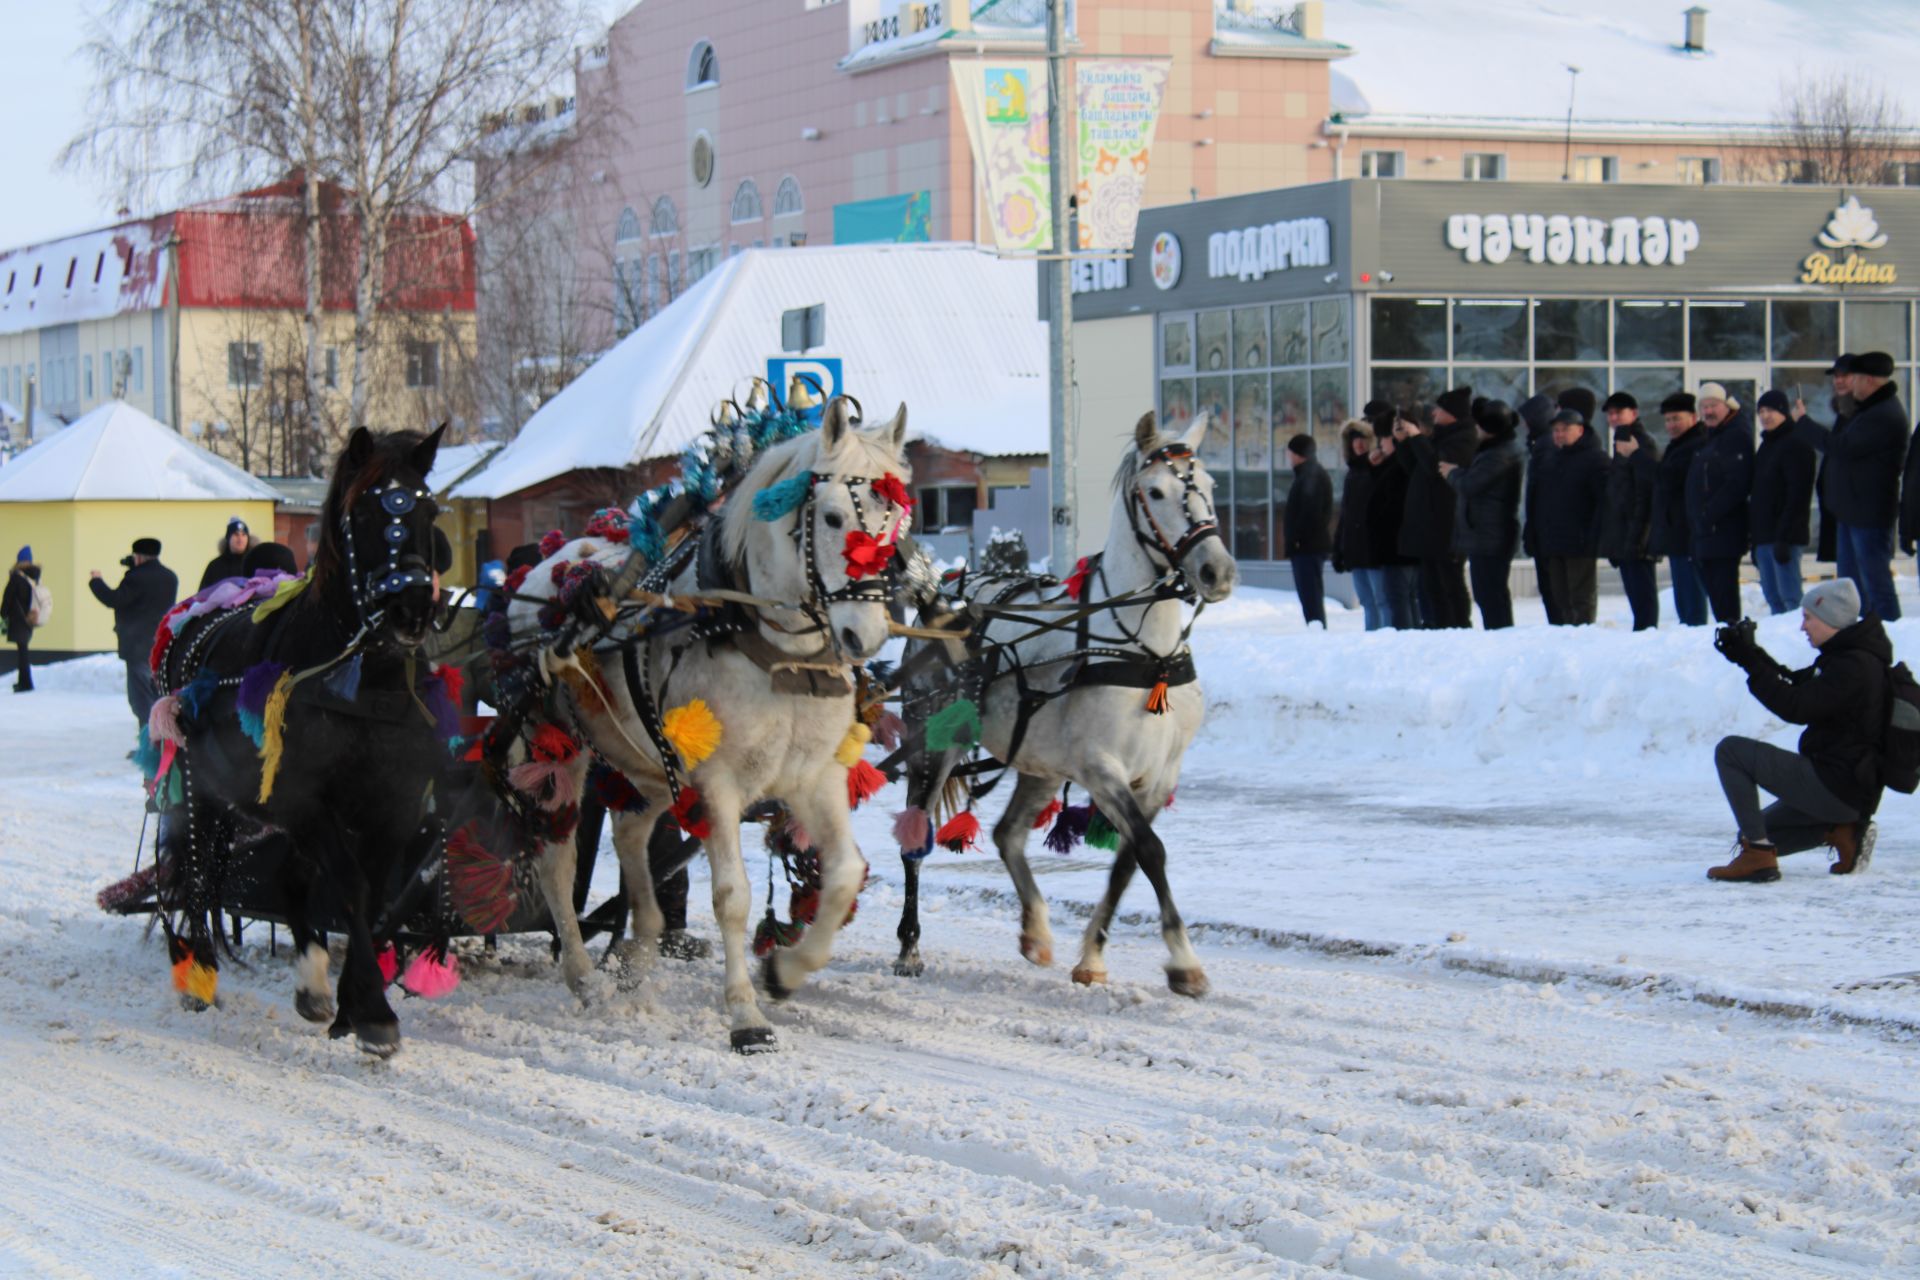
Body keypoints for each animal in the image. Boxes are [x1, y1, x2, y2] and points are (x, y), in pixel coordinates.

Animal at [154, 426, 453, 1059]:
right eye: (366, 513)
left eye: (428, 510)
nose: (411, 609)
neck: (362, 682)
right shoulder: (309, 802)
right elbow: (351, 890)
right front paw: (373, 1013)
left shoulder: (389, 808)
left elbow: (369, 896)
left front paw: (350, 1003)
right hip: (205, 793)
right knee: (197, 875)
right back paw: (199, 976)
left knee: (290, 880)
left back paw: (312, 983)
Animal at [506, 401, 902, 1051]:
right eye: (834, 516)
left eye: (897, 521)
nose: (863, 636)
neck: (774, 653)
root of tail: (553, 565)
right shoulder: (717, 784)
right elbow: (732, 897)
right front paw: (745, 1015)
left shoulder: (813, 777)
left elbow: (846, 874)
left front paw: (784, 972)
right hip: (556, 752)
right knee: (558, 866)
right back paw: (585, 977)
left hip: (647, 764)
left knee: (631, 834)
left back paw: (639, 950)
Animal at [894, 416, 1236, 997]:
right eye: (1155, 492)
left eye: (1209, 485)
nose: (1217, 571)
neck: (1148, 656)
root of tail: (939, 603)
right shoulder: (1102, 768)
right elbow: (1151, 851)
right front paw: (1184, 961)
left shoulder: (1159, 777)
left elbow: (1128, 861)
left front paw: (1093, 957)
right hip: (933, 745)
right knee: (915, 839)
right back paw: (909, 948)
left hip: (1042, 763)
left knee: (1008, 833)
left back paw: (1035, 930)